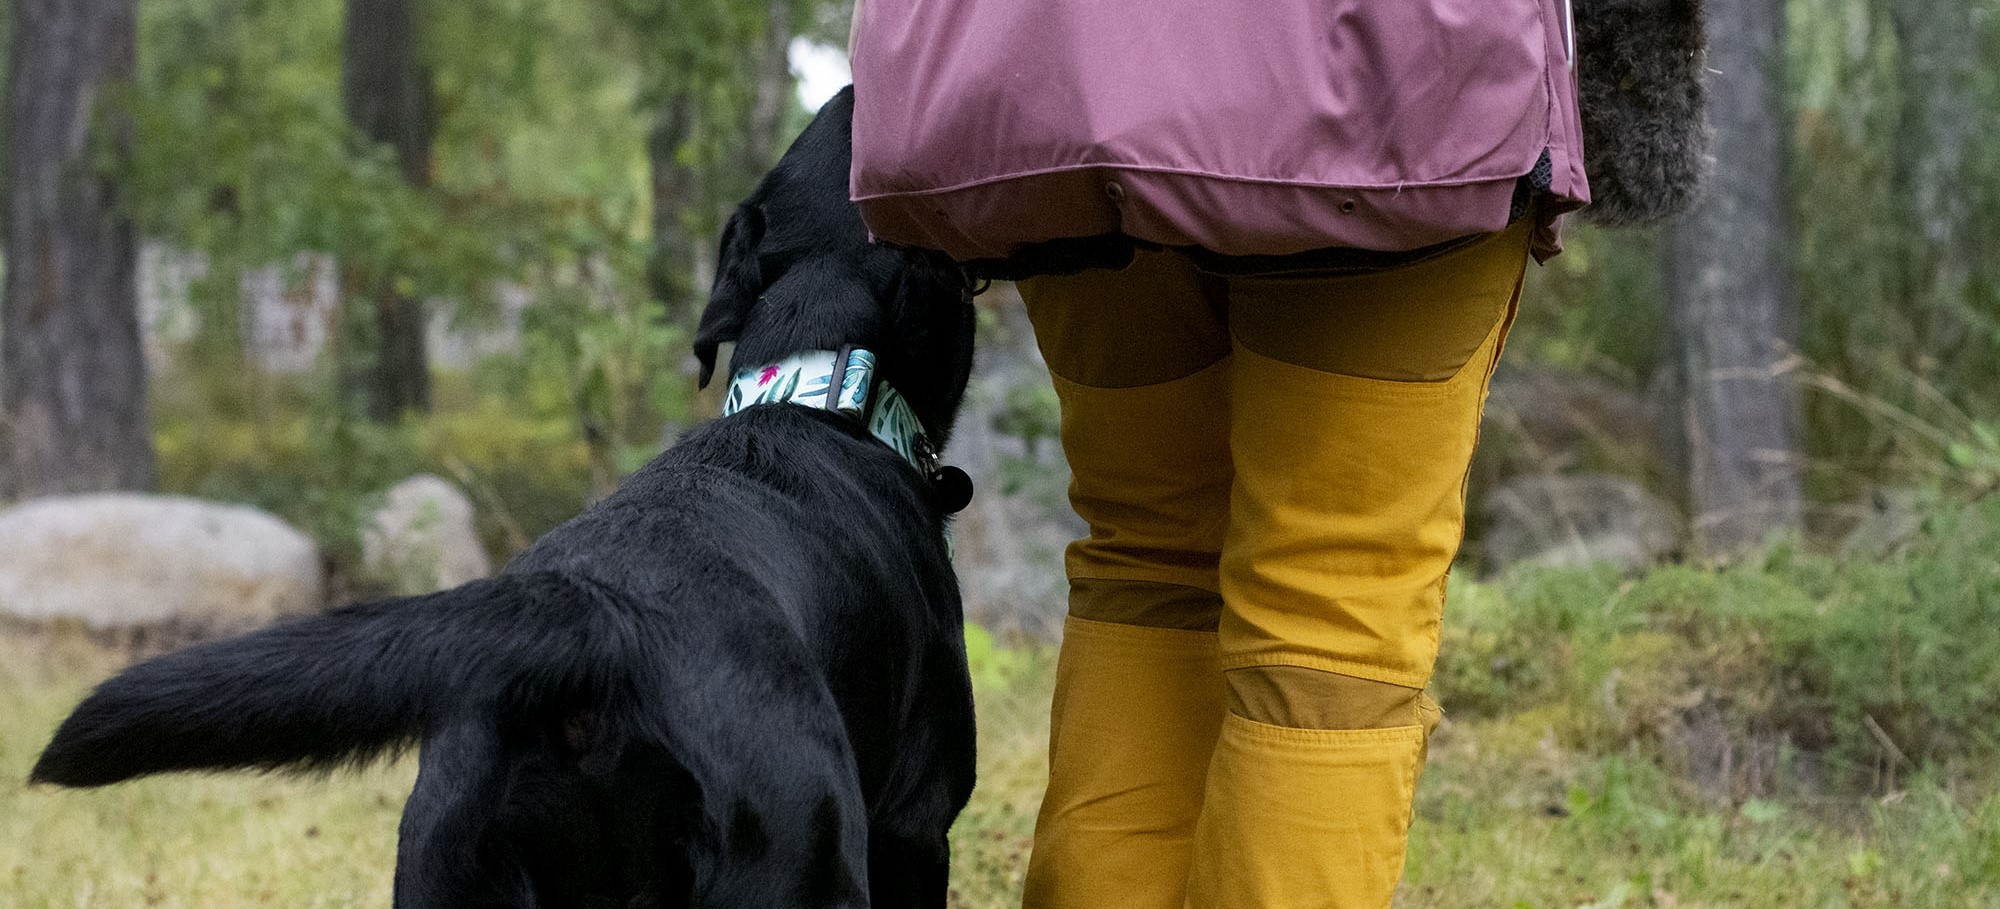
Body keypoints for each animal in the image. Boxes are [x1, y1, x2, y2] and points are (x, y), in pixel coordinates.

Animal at [31, 86, 980, 909]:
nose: (863, 83)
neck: (817, 391)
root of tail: (599, 621)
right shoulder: (916, 823)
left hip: (444, 858)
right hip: (804, 853)